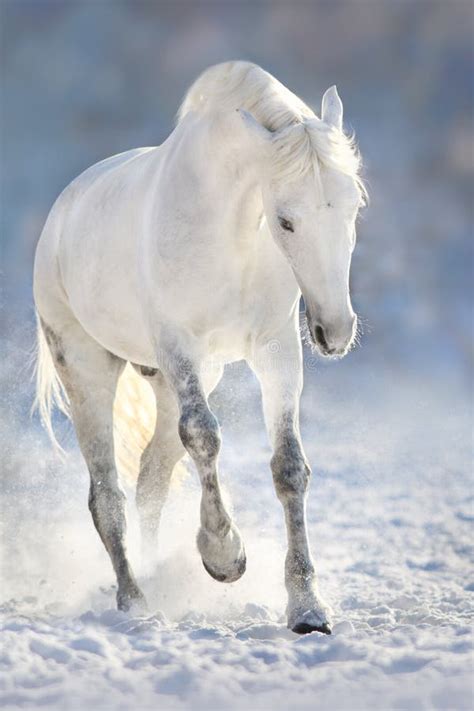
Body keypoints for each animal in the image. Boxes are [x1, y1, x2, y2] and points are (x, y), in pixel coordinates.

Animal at [33, 61, 364, 636]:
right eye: (285, 220)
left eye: (354, 208)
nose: (336, 329)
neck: (232, 234)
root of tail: (61, 215)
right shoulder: (178, 347)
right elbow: (205, 437)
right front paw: (223, 555)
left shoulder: (276, 351)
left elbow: (288, 466)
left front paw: (307, 608)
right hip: (87, 369)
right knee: (107, 497)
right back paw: (134, 600)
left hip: (174, 382)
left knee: (149, 483)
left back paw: (155, 575)